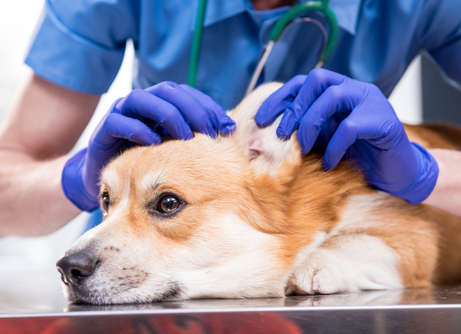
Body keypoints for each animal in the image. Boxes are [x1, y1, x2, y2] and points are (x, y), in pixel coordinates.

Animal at [58, 82, 461, 304]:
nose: (66, 268)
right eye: (106, 199)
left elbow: (366, 241)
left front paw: (315, 263)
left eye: (168, 203)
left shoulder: (415, 236)